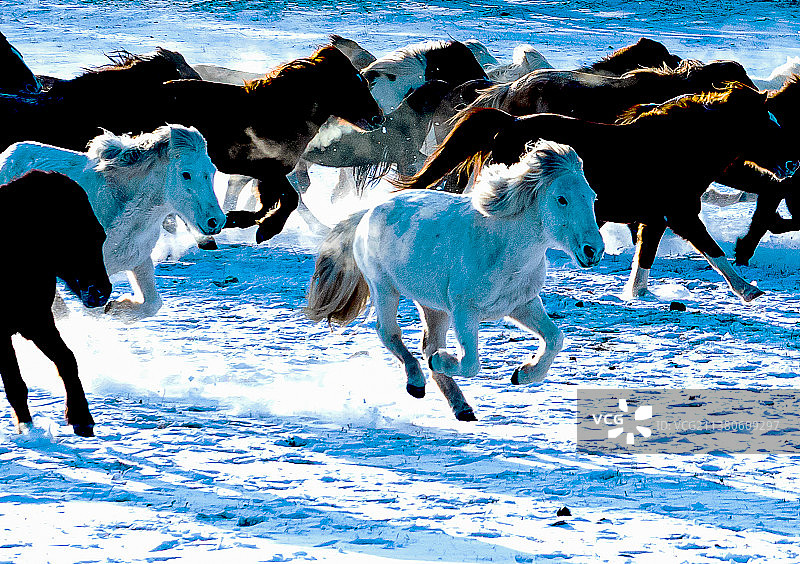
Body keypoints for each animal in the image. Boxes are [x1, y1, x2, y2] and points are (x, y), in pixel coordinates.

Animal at [0, 45, 384, 242]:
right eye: (353, 82)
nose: (378, 117)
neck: (273, 112)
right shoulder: (258, 166)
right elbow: (288, 199)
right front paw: (262, 228)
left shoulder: (267, 171)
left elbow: (277, 199)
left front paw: (239, 221)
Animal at [0, 125, 223, 320]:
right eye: (186, 174)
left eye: (212, 171)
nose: (216, 221)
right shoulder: (89, 278)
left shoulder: (137, 261)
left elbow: (152, 304)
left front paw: (118, 307)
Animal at [1, 171, 112, 436]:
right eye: (69, 234)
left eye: (100, 235)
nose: (101, 292)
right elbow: (15, 383)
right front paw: (26, 427)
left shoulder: (37, 321)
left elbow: (67, 360)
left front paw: (81, 417)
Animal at [304, 141, 604, 420]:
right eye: (561, 199)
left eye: (592, 196)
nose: (594, 251)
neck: (503, 246)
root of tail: (368, 212)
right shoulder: (464, 311)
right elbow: (471, 363)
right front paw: (441, 361)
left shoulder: (523, 305)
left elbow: (555, 338)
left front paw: (523, 374)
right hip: (384, 288)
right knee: (389, 332)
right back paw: (417, 382)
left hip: (433, 306)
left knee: (427, 344)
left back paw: (461, 406)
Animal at [400, 83, 780, 302]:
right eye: (765, 124)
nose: (787, 164)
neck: (676, 146)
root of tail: (510, 123)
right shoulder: (681, 214)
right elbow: (713, 251)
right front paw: (748, 290)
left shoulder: (656, 218)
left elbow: (645, 256)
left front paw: (636, 292)